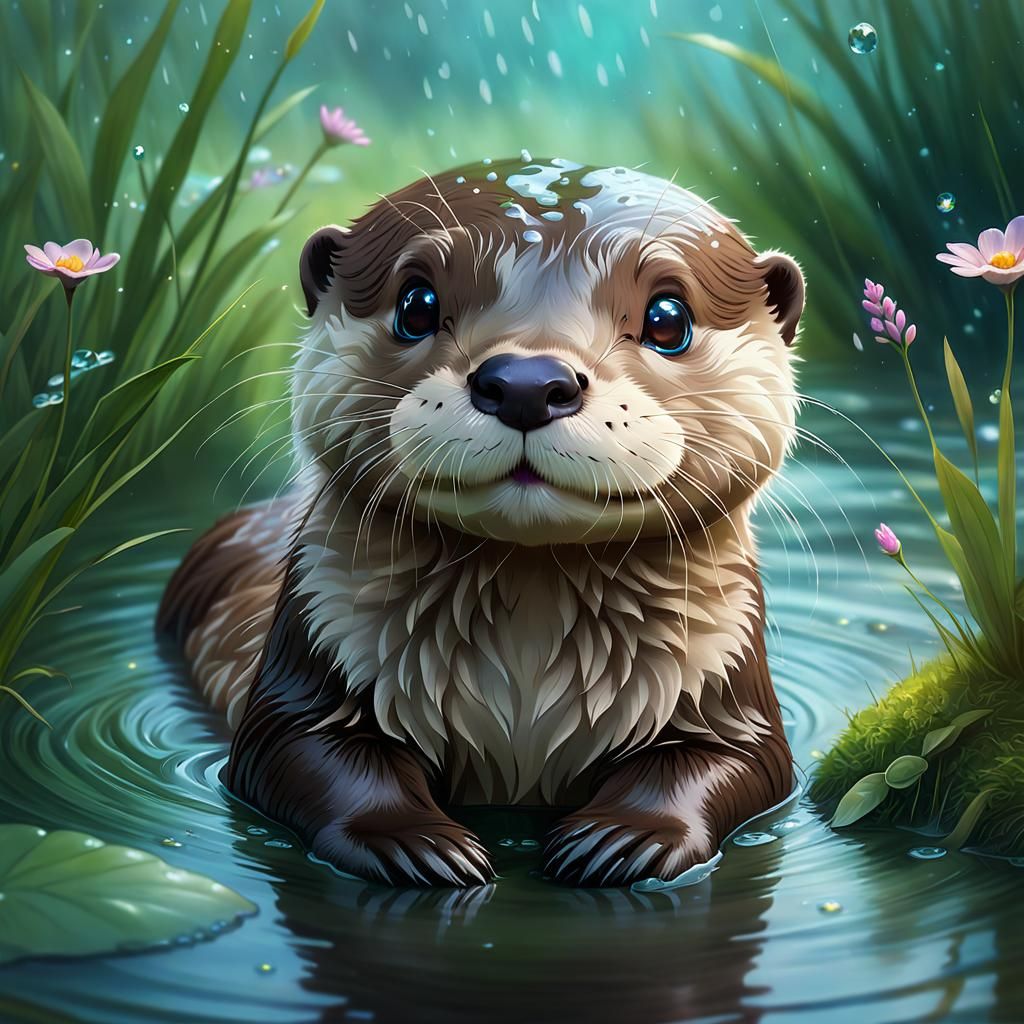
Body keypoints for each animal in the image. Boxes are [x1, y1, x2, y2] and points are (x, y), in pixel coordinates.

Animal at [158, 158, 804, 888]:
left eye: (669, 319)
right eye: (416, 304)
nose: (528, 382)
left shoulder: (724, 666)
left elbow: (734, 761)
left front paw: (625, 837)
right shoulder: (315, 642)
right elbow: (301, 751)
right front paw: (415, 841)